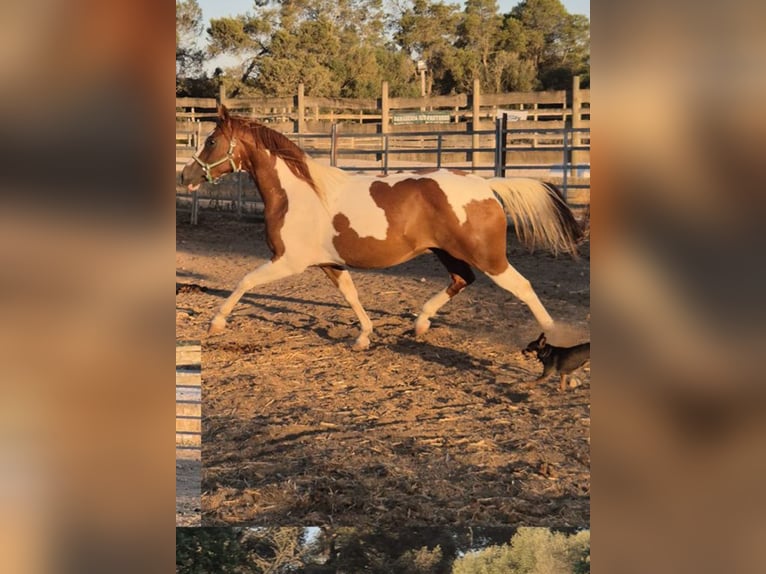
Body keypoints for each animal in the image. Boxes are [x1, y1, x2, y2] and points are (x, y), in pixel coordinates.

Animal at [180, 105, 582, 350]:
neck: (297, 192)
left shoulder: (288, 261)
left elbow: (244, 282)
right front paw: (364, 336)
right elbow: (351, 295)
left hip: (488, 257)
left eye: (211, 140)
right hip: (445, 252)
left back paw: (555, 337)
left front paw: (216, 323)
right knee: (462, 280)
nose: (187, 176)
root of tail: (485, 186)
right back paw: (420, 323)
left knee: (522, 286)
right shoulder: (330, 263)